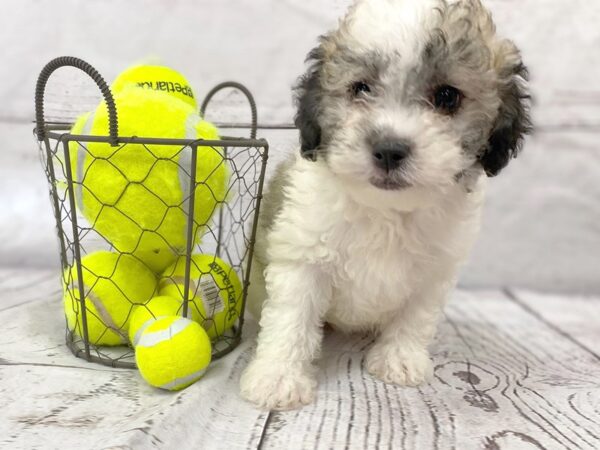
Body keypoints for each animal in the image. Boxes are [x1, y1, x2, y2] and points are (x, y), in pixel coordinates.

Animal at [239, 0, 528, 410]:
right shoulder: (304, 257)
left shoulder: (435, 272)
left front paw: (400, 359)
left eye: (447, 97)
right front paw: (278, 377)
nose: (390, 149)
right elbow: (292, 318)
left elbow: (415, 317)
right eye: (360, 88)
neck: (388, 211)